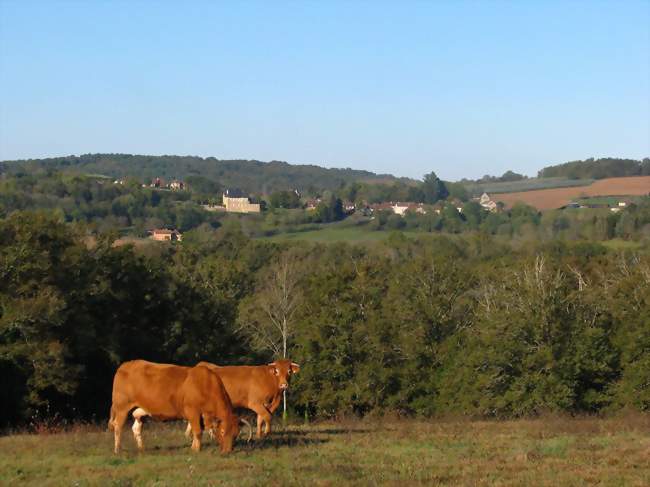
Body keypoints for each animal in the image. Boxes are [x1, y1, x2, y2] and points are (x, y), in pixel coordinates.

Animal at [107, 360, 239, 456]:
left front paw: (193, 447)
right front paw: (196, 450)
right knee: (117, 426)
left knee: (136, 428)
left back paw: (141, 449)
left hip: (140, 411)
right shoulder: (192, 411)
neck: (206, 384)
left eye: (236, 434)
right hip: (121, 407)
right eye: (222, 431)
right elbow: (197, 431)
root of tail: (126, 365)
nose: (228, 451)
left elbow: (197, 431)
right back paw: (117, 449)